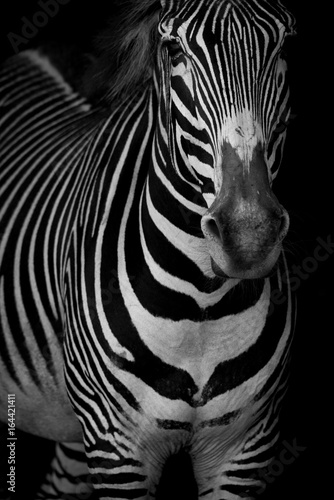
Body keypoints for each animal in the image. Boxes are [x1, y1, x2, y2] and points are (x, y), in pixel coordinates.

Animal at [0, 0, 298, 498]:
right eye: (174, 50)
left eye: (283, 47)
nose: (249, 235)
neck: (201, 302)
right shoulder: (117, 448)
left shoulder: (245, 448)